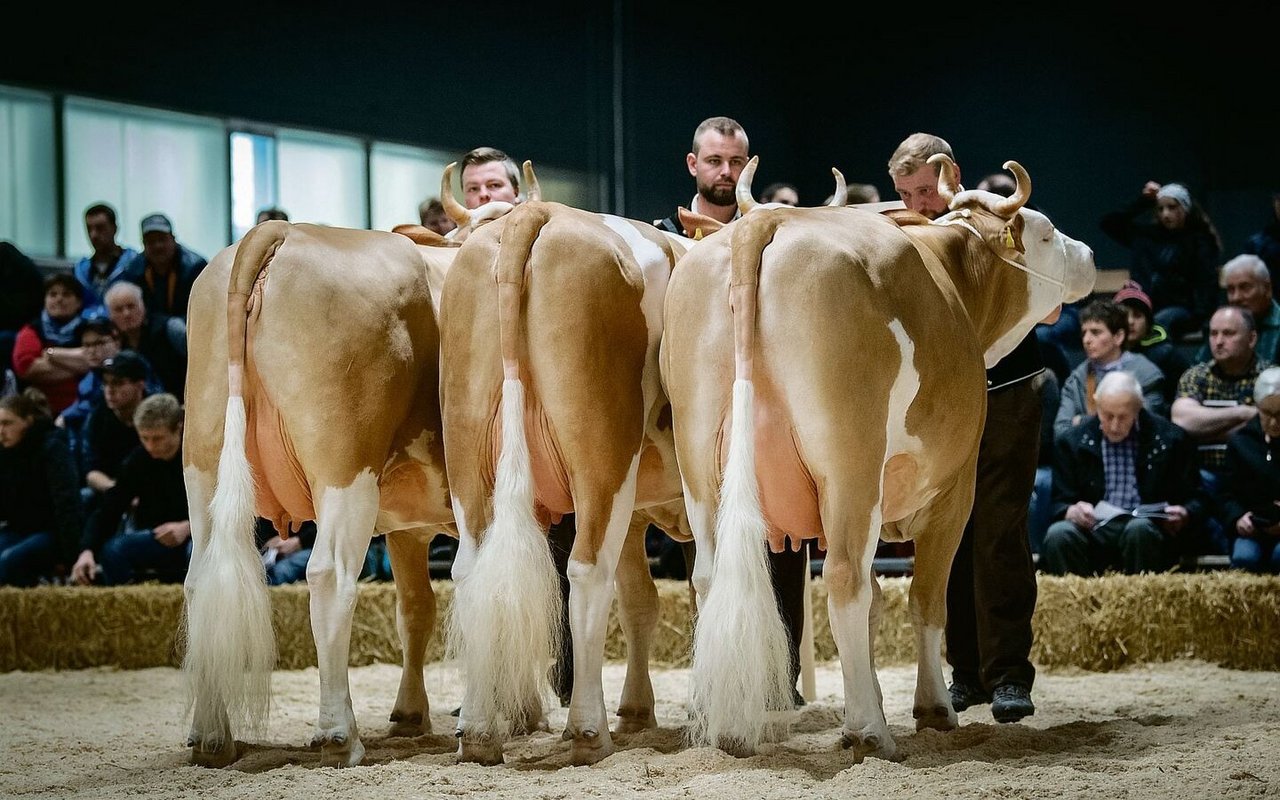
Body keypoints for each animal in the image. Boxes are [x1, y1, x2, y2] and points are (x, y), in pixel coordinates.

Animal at [177, 218, 463, 768]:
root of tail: (284, 231)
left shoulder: (408, 527)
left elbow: (417, 609)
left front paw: (411, 713)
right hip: (345, 470)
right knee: (330, 576)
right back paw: (339, 734)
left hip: (203, 466)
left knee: (203, 580)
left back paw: (211, 735)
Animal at [437, 197, 691, 762]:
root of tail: (539, 213)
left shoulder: (641, 515)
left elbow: (642, 602)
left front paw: (638, 710)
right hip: (603, 461)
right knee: (587, 573)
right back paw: (588, 730)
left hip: (467, 451)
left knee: (472, 571)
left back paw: (480, 731)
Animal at [665, 154, 1095, 752]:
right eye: (1049, 232)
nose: (1092, 257)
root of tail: (764, 223)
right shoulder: (953, 490)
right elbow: (926, 600)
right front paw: (932, 709)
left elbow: (874, 606)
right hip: (852, 465)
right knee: (844, 578)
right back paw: (869, 732)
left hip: (700, 464)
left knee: (711, 578)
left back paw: (723, 723)